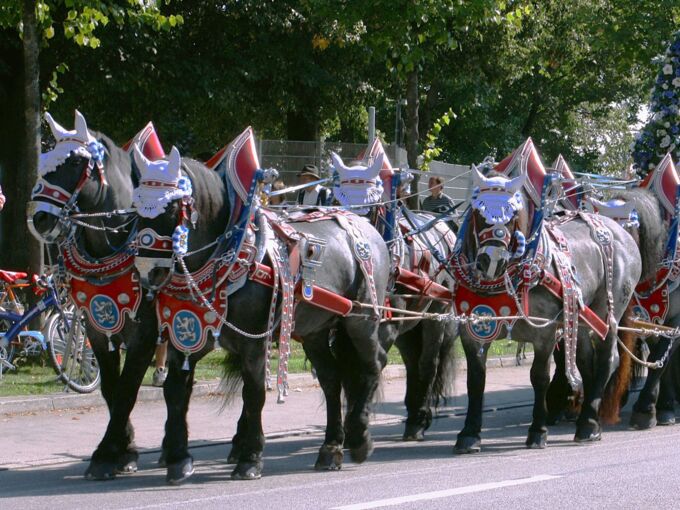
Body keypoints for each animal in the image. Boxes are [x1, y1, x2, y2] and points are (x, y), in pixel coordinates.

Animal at [26, 109, 158, 480]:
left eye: (73, 163)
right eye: (44, 160)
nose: (39, 219)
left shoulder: (144, 335)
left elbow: (127, 389)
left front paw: (110, 453)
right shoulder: (99, 330)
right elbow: (111, 390)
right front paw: (121, 449)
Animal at [130, 139, 390, 482]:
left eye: (173, 207)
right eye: (135, 207)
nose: (148, 271)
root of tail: (366, 227)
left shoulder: (254, 340)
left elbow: (253, 393)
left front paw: (250, 458)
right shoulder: (184, 334)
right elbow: (175, 392)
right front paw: (178, 458)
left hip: (361, 319)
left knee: (374, 363)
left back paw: (359, 437)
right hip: (315, 331)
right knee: (331, 378)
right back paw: (331, 448)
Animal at [330, 149, 456, 440]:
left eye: (373, 203)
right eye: (335, 199)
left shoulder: (384, 327)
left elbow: (368, 366)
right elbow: (345, 373)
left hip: (436, 314)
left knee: (427, 363)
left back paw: (419, 420)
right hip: (408, 326)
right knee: (412, 363)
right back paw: (412, 414)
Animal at [452, 166, 644, 450]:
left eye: (512, 214)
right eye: (478, 211)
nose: (492, 260)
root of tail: (622, 233)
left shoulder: (545, 331)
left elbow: (539, 377)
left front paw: (538, 430)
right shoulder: (472, 329)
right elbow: (475, 380)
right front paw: (469, 434)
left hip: (608, 313)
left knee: (607, 360)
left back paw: (589, 423)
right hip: (580, 318)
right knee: (585, 361)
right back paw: (585, 417)